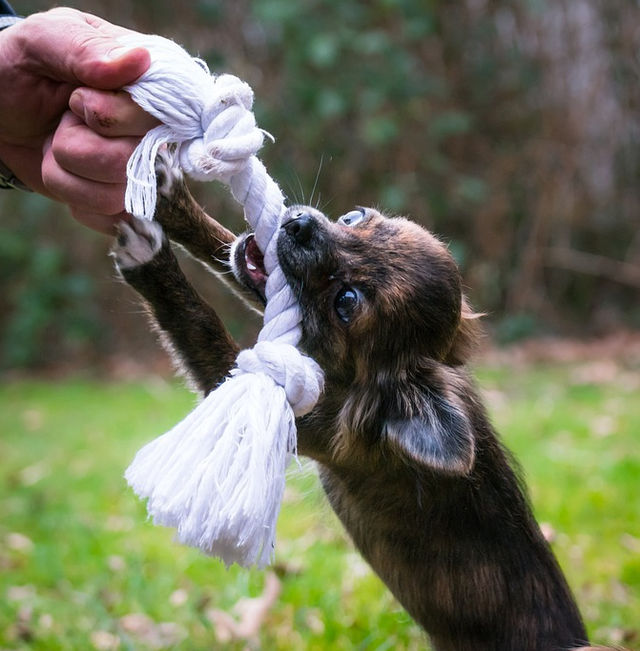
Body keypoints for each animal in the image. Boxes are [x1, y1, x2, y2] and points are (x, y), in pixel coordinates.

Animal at [112, 174, 596, 651]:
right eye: (352, 218)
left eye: (346, 301)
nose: (299, 224)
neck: (354, 385)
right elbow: (227, 245)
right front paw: (173, 202)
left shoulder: (297, 412)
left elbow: (198, 323)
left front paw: (151, 261)